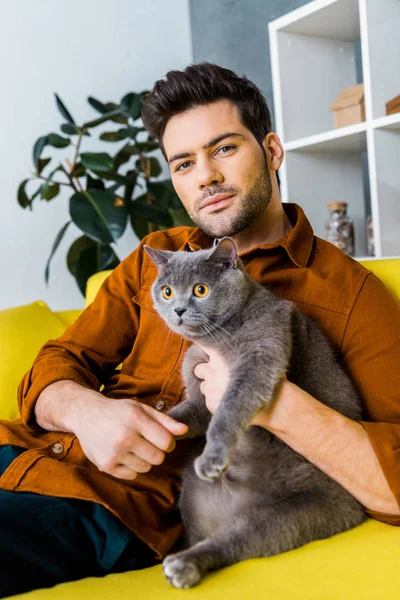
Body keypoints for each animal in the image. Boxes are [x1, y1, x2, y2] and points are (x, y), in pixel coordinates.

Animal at [144, 237, 366, 588]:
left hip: (298, 513)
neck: (214, 342)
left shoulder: (260, 353)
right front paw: (149, 426)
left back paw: (184, 566)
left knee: (238, 540)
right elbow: (186, 415)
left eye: (201, 290)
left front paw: (212, 457)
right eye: (166, 291)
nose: (177, 308)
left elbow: (230, 407)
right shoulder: (198, 385)